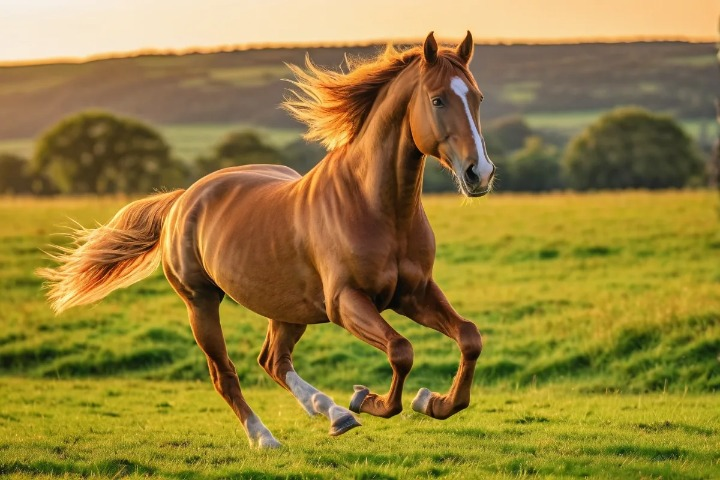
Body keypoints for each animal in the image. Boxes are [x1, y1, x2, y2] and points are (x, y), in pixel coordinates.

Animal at [38, 31, 496, 449]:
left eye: (477, 98)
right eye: (437, 100)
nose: (480, 173)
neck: (376, 207)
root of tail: (183, 198)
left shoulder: (414, 293)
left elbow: (469, 337)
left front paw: (433, 402)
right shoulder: (346, 301)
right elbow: (401, 350)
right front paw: (368, 399)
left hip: (288, 308)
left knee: (274, 360)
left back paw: (333, 414)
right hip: (201, 302)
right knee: (225, 374)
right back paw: (269, 436)